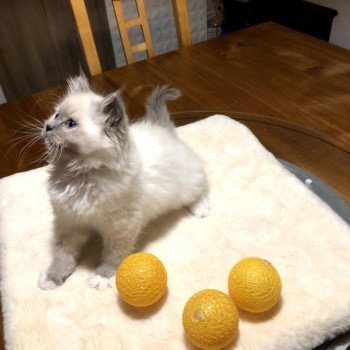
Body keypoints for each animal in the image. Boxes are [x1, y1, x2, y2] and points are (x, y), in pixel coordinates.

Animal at [38, 74, 209, 290]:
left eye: (70, 124)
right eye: (56, 115)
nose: (48, 126)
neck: (81, 176)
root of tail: (161, 128)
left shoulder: (122, 226)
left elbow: (113, 254)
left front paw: (102, 276)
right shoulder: (69, 222)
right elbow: (63, 255)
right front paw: (53, 277)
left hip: (186, 186)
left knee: (203, 187)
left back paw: (200, 208)